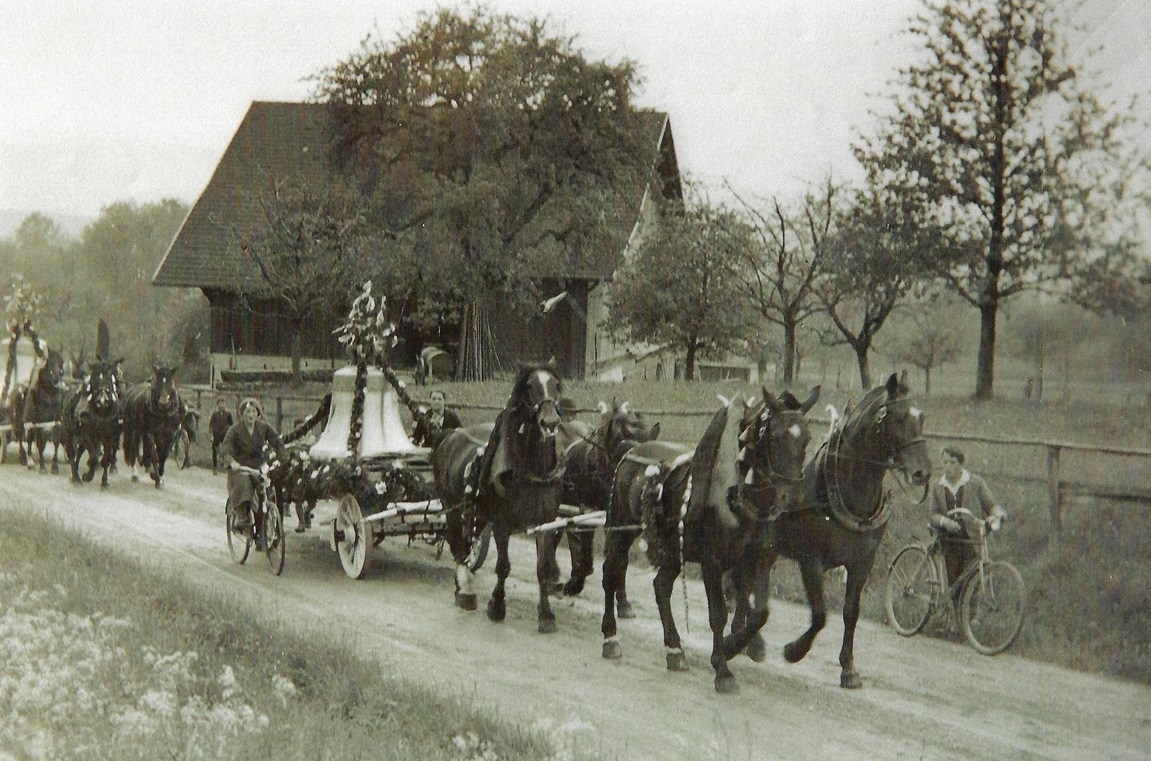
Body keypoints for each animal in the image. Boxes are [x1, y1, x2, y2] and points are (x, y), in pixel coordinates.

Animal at [435, 361, 566, 630]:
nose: (550, 422)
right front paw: (497, 605)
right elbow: (503, 566)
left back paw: (460, 587)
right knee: (458, 546)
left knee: (467, 544)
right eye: (530, 387)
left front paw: (546, 614)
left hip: (477, 514)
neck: (531, 471)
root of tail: (451, 435)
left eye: (556, 385)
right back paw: (466, 591)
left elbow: (542, 568)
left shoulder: (545, 523)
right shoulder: (502, 524)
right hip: (452, 508)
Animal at [603, 389, 819, 690]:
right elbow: (718, 613)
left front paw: (734, 646)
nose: (792, 497)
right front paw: (723, 669)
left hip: (673, 548)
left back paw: (675, 650)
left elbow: (760, 612)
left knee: (661, 586)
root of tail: (632, 450)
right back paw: (610, 637)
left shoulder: (758, 559)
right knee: (612, 572)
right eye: (775, 437)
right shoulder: (712, 561)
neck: (738, 498)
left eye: (807, 438)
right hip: (622, 530)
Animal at [736, 368, 934, 690]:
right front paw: (794, 650)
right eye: (898, 418)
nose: (922, 472)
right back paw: (750, 641)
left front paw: (849, 668)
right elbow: (819, 615)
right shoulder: (811, 560)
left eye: (922, 417)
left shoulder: (862, 563)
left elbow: (850, 612)